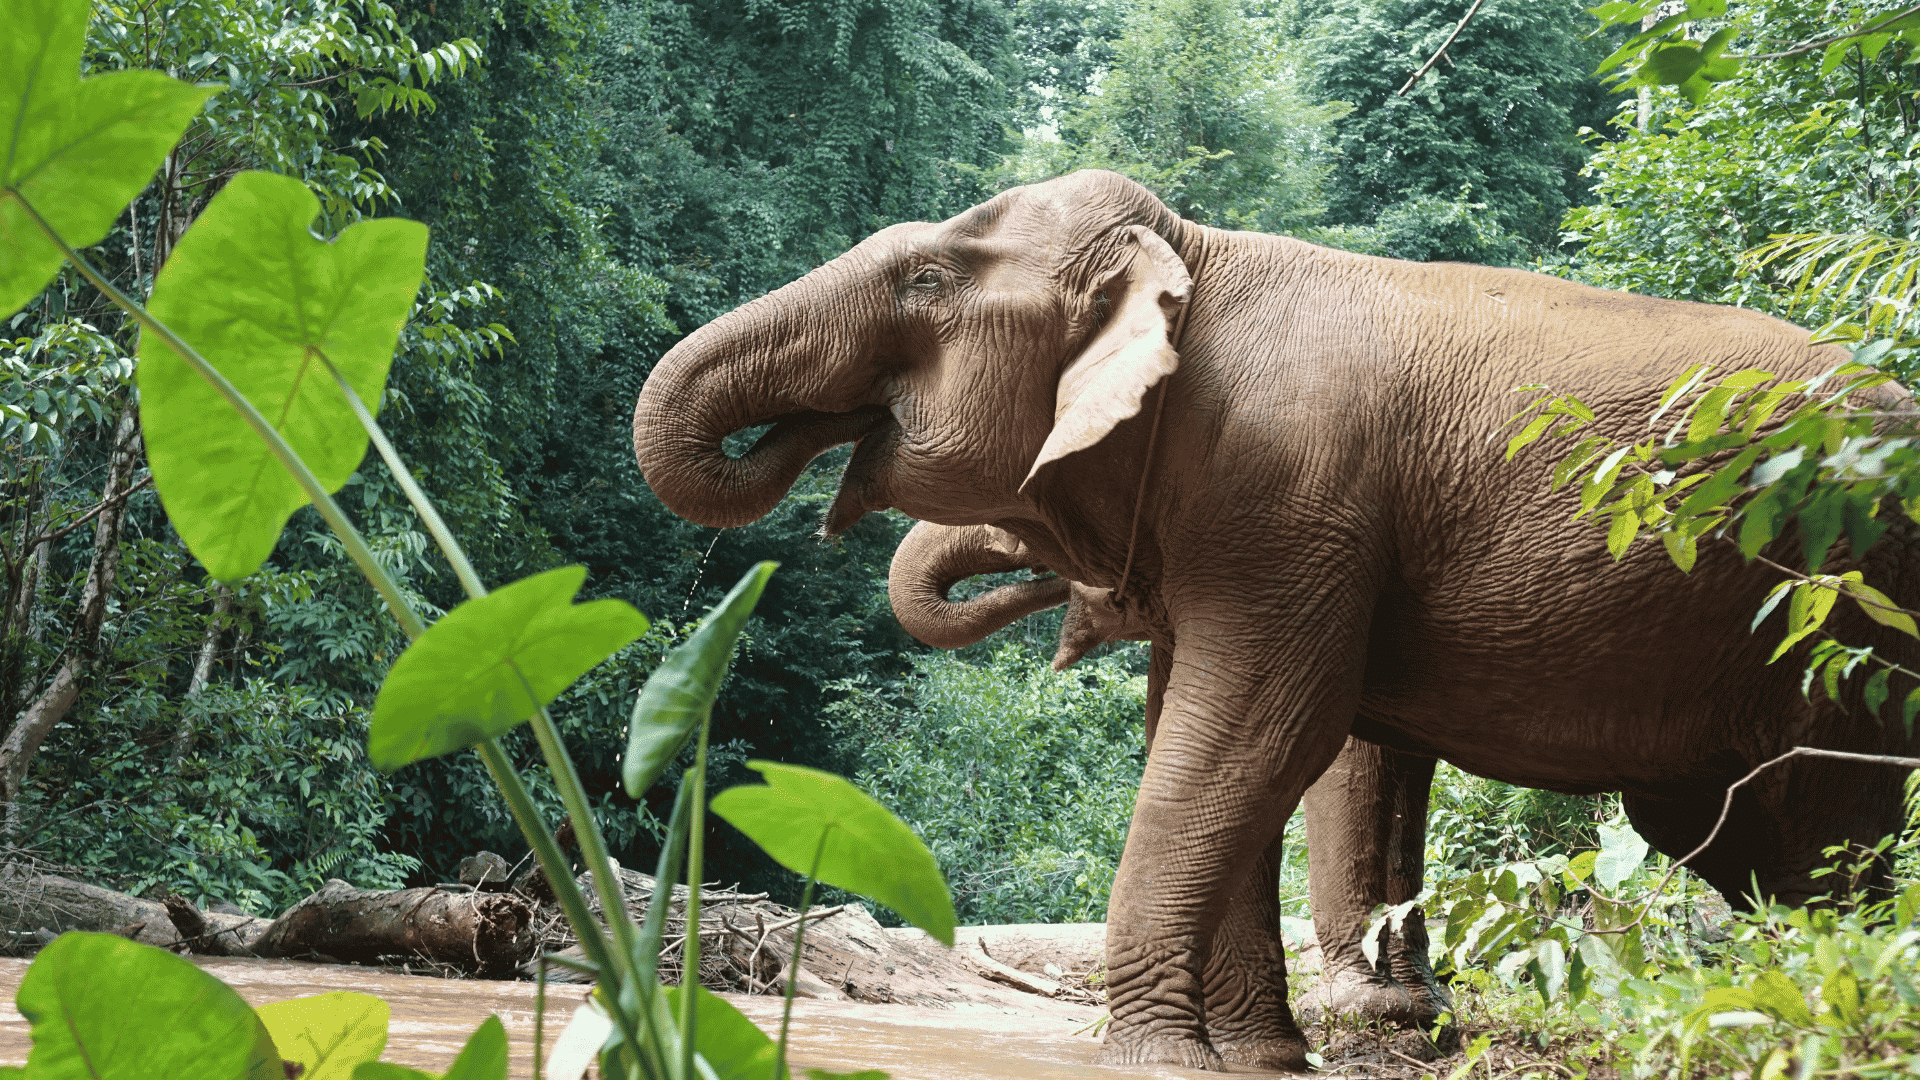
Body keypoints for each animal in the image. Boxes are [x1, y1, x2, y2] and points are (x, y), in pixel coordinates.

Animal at [634, 169, 1918, 1070]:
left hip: (1855, 610)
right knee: (1735, 839)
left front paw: (1157, 1060)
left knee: (1829, 823)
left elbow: (1257, 736)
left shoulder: (1293, 500)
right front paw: (1257, 1058)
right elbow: (1226, 741)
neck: (1199, 254)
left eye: (928, 283)